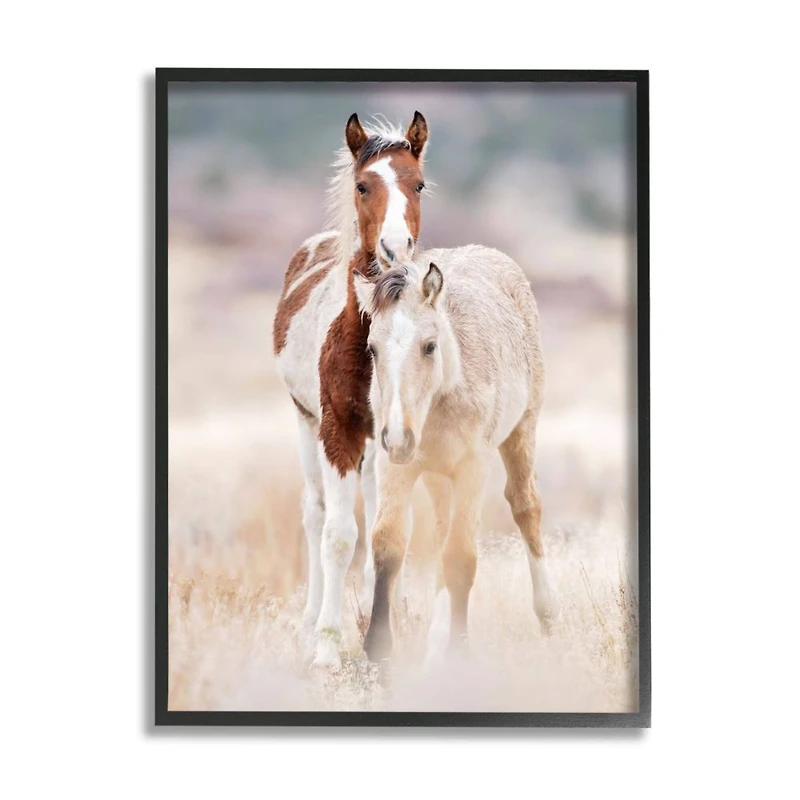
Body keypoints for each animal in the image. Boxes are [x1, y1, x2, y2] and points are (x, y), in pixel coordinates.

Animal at [272, 112, 432, 668]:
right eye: (363, 185)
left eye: (418, 183)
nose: (394, 250)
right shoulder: (337, 429)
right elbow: (338, 536)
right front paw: (326, 646)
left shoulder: (394, 437)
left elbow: (389, 533)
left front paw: (391, 633)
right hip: (305, 425)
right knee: (315, 513)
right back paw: (310, 623)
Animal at [353, 250, 558, 664]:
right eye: (373, 349)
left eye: (429, 346)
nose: (398, 436)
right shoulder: (394, 465)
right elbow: (388, 544)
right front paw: (379, 649)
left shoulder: (472, 468)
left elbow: (461, 557)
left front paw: (457, 651)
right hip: (435, 476)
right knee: (441, 531)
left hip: (522, 431)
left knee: (526, 506)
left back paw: (546, 614)